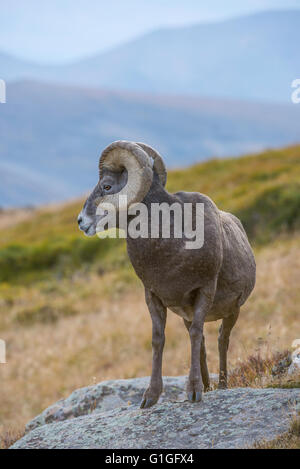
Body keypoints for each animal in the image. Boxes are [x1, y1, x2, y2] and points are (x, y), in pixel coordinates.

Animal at [77, 141, 255, 408]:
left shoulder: (204, 290)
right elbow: (159, 339)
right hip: (188, 315)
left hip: (232, 311)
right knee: (202, 344)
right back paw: (208, 387)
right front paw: (150, 397)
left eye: (106, 186)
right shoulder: (154, 297)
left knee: (221, 340)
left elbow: (197, 335)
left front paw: (193, 392)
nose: (81, 221)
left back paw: (221, 386)